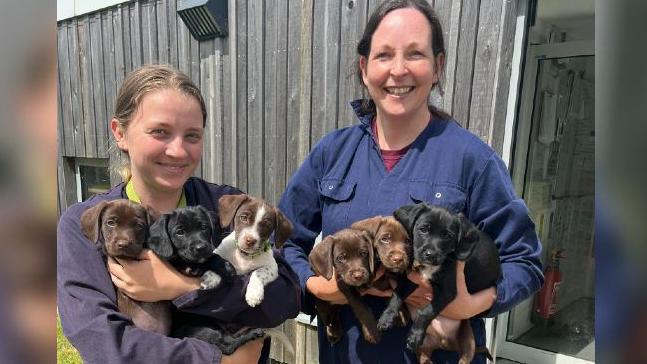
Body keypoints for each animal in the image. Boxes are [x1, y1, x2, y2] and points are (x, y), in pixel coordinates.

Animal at [148, 206, 264, 354]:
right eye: (180, 232)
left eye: (204, 227)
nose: (201, 248)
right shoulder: (186, 267)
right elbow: (207, 260)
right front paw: (227, 268)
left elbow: (212, 256)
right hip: (202, 327)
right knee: (227, 346)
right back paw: (253, 332)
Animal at [394, 203, 502, 360]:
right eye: (423, 229)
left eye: (447, 236)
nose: (430, 255)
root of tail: (445, 344)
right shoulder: (413, 279)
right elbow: (398, 293)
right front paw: (387, 316)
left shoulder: (448, 292)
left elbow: (426, 311)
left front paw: (415, 335)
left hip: (468, 342)